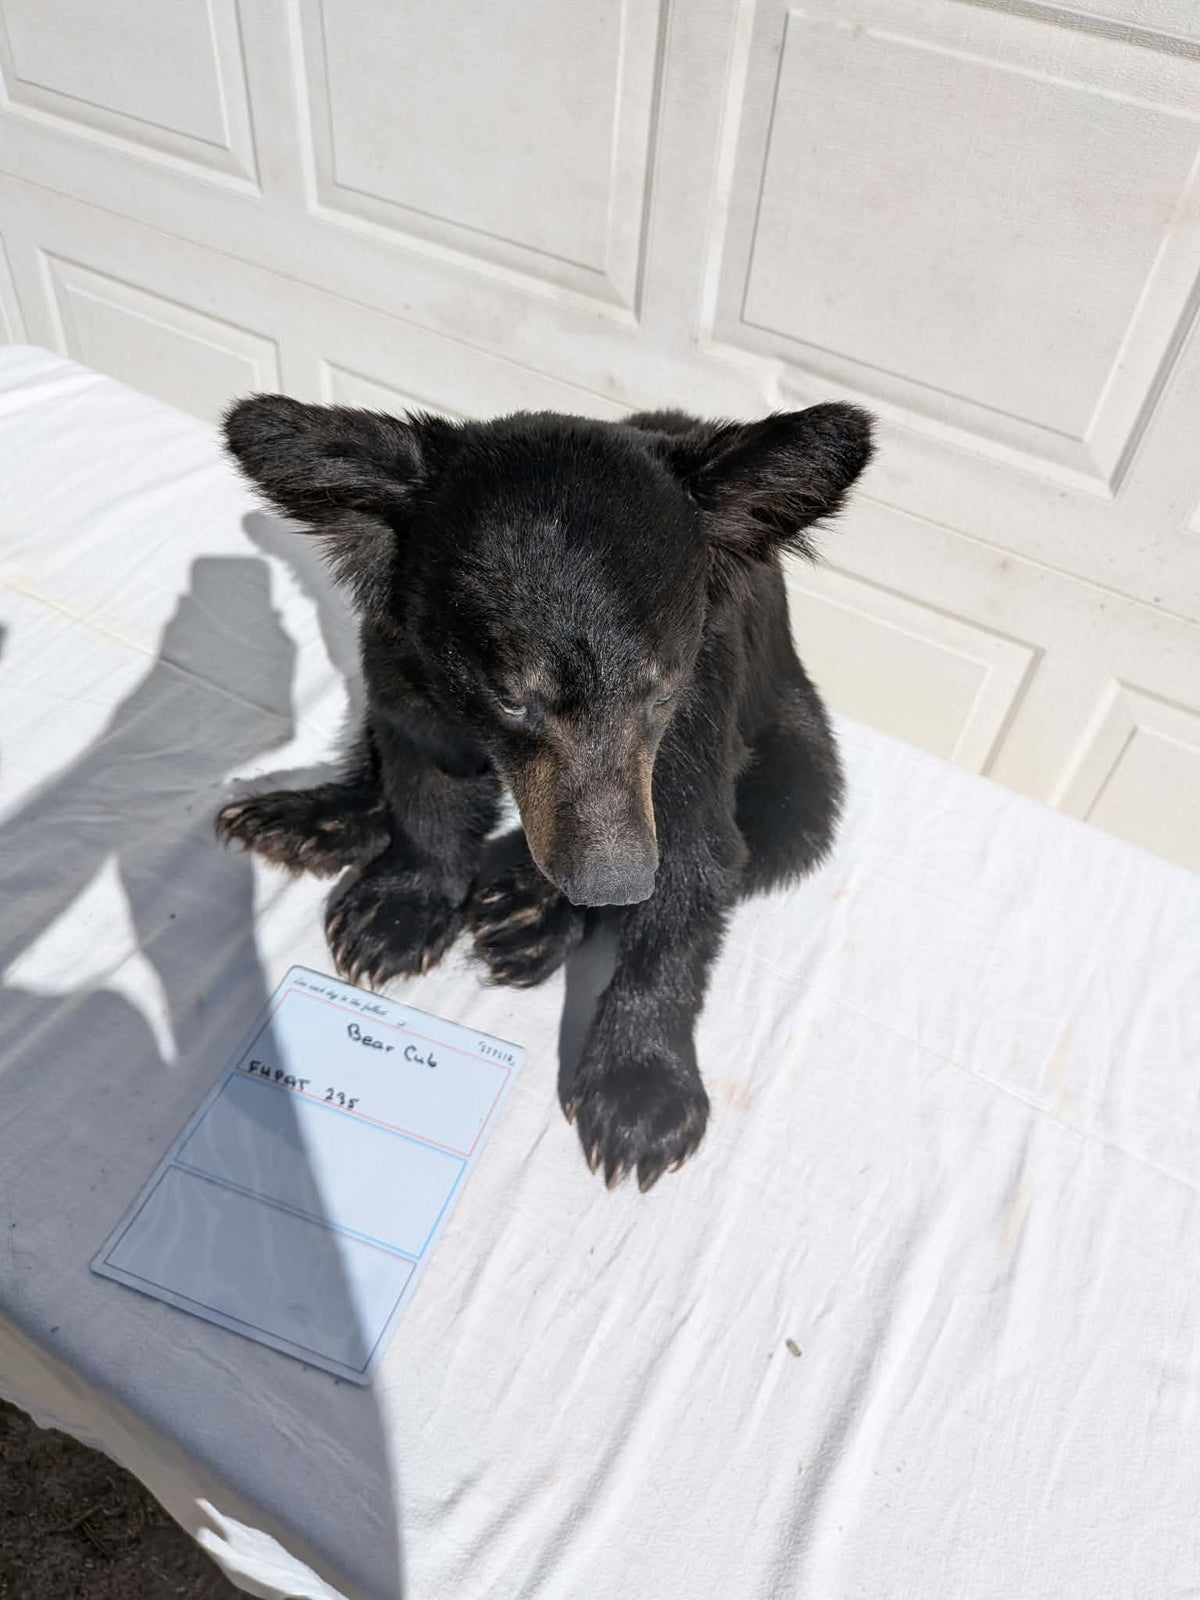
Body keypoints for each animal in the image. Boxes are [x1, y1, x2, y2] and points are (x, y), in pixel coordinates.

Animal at [216, 396, 874, 1190]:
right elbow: (423, 773)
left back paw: (528, 919)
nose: (611, 884)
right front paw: (397, 912)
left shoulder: (695, 719)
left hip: (797, 759)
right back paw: (305, 820)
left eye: (660, 692)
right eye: (510, 697)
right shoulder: (409, 665)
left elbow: (691, 870)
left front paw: (640, 1096)